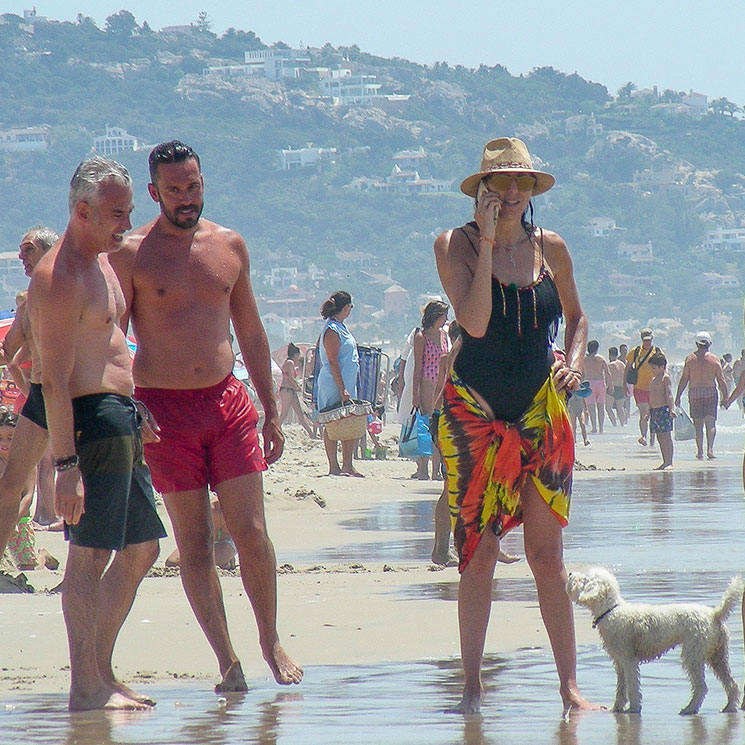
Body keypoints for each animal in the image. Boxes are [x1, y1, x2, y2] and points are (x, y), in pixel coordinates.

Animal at [568, 568, 740, 712]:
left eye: (584, 579)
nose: (569, 574)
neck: (610, 610)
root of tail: (715, 615)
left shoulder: (628, 660)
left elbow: (632, 686)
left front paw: (634, 708)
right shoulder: (619, 662)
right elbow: (621, 688)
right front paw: (617, 707)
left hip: (693, 654)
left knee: (701, 687)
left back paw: (689, 709)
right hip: (717, 655)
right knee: (731, 684)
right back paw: (729, 707)